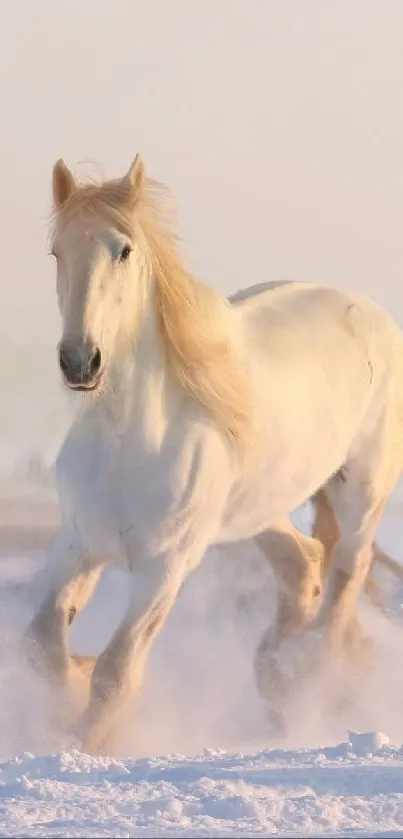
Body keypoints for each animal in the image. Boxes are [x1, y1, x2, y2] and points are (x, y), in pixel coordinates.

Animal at [26, 156, 403, 756]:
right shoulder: (78, 544)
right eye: (57, 252)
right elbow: (42, 645)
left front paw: (86, 743)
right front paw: (65, 702)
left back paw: (308, 680)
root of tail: (372, 312)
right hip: (260, 507)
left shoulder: (165, 567)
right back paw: (275, 678)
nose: (81, 361)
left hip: (362, 490)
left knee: (346, 575)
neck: (127, 443)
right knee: (304, 565)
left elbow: (116, 670)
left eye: (123, 250)